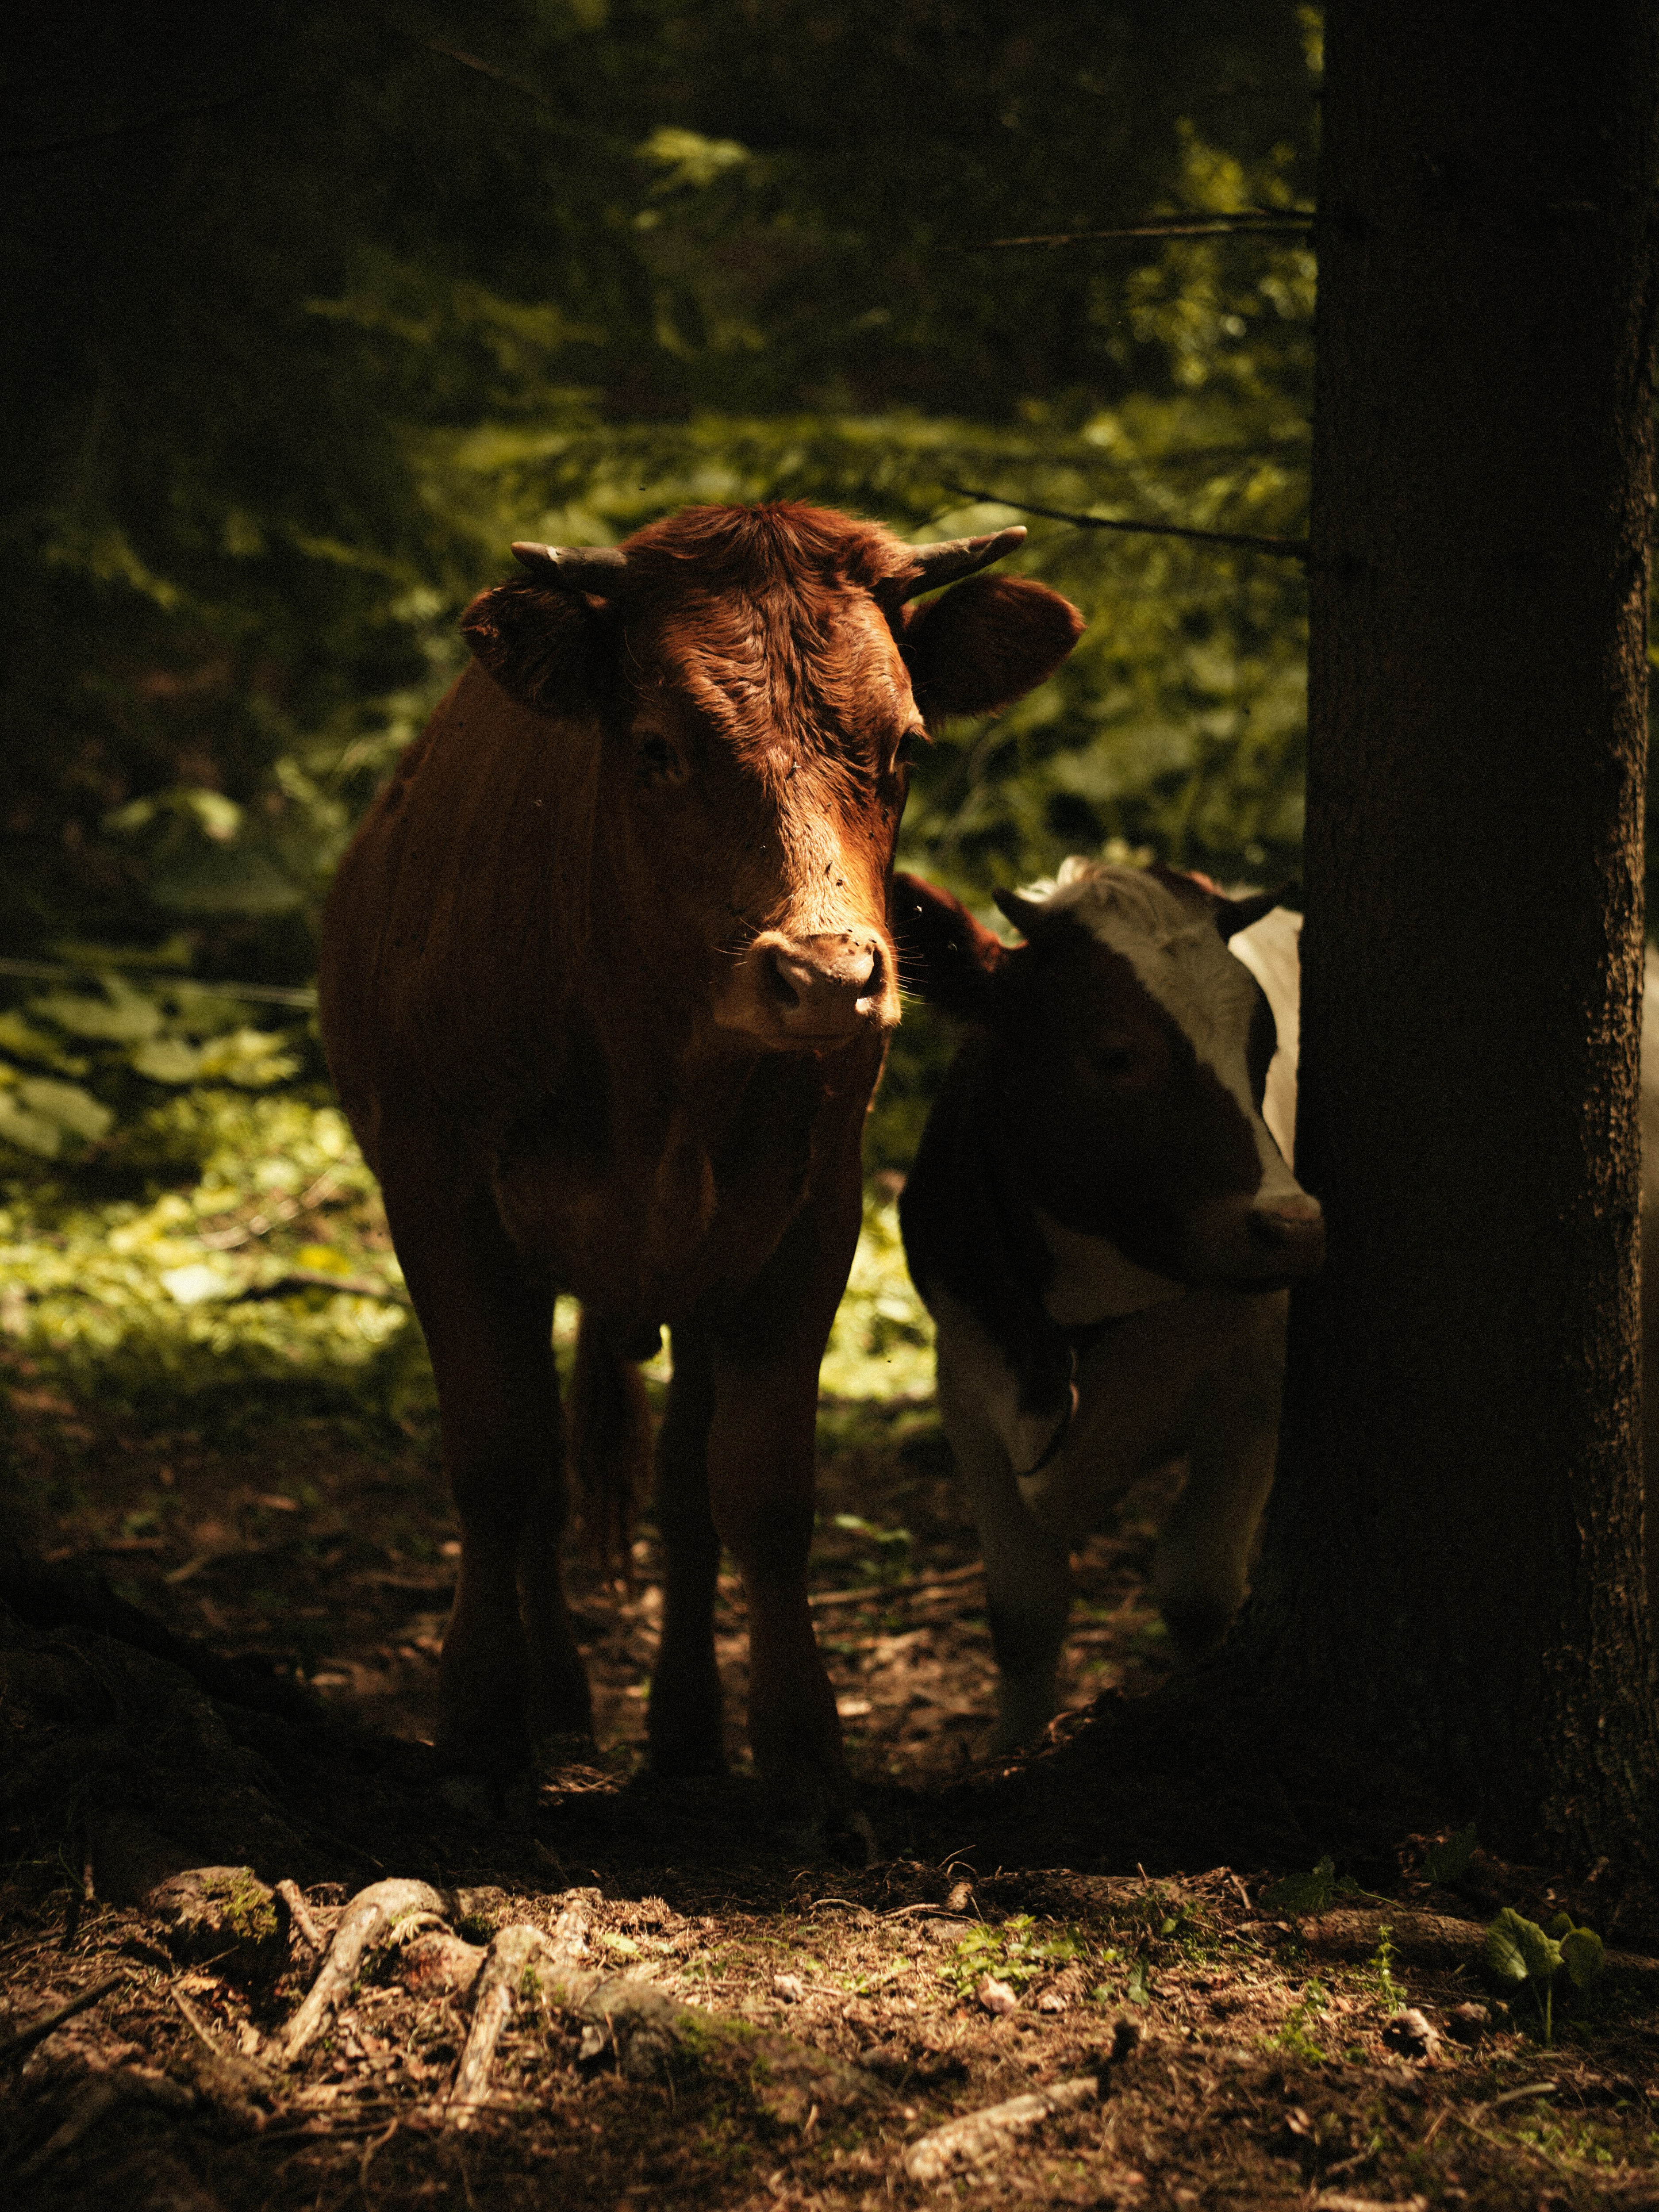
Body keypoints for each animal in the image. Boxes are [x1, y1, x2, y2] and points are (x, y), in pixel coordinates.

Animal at [318, 502, 1083, 1849]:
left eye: (902, 746)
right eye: (659, 748)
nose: (827, 976)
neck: (649, 1071)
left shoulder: (806, 1226)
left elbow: (760, 1495)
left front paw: (806, 1760)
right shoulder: (441, 1198)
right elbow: (497, 1464)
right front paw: (478, 1737)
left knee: (680, 1493)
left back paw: (681, 1731)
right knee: (548, 1483)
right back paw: (562, 1706)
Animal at [893, 858, 1324, 1756]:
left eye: (1263, 1048)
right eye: (1114, 1053)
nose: (1295, 1229)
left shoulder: (1257, 1392)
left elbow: (1197, 1589)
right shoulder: (967, 1385)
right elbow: (1022, 1609)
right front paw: (1011, 1752)